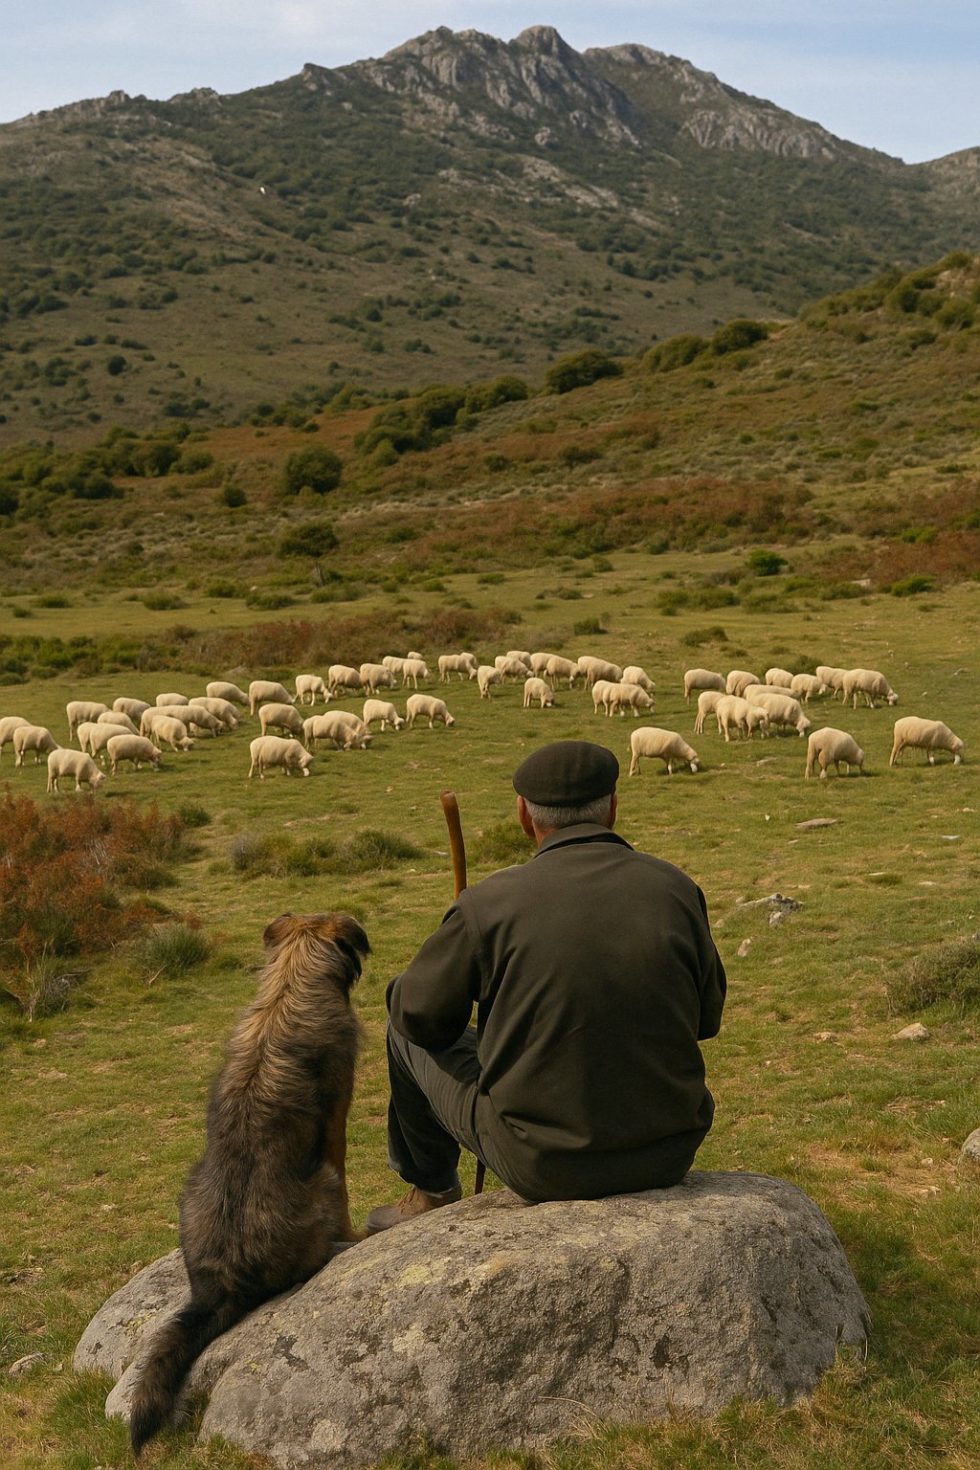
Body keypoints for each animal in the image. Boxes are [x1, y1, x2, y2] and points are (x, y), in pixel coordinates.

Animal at [128, 911, 369, 1456]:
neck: (291, 981)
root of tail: (219, 1287)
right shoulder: (336, 1122)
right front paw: (356, 1235)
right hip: (319, 1182)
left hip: (189, 1188)